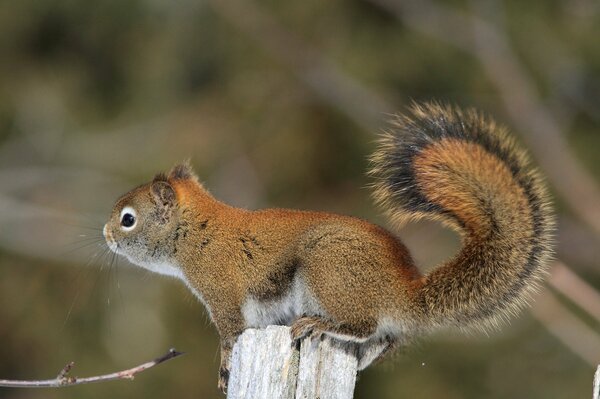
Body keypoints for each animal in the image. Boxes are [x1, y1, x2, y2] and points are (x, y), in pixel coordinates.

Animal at [102, 103, 552, 394]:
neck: (197, 231)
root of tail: (403, 293)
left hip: (326, 269)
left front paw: (226, 369)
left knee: (363, 324)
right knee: (378, 341)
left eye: (128, 219)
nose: (105, 234)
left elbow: (231, 336)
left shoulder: (223, 292)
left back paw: (320, 325)